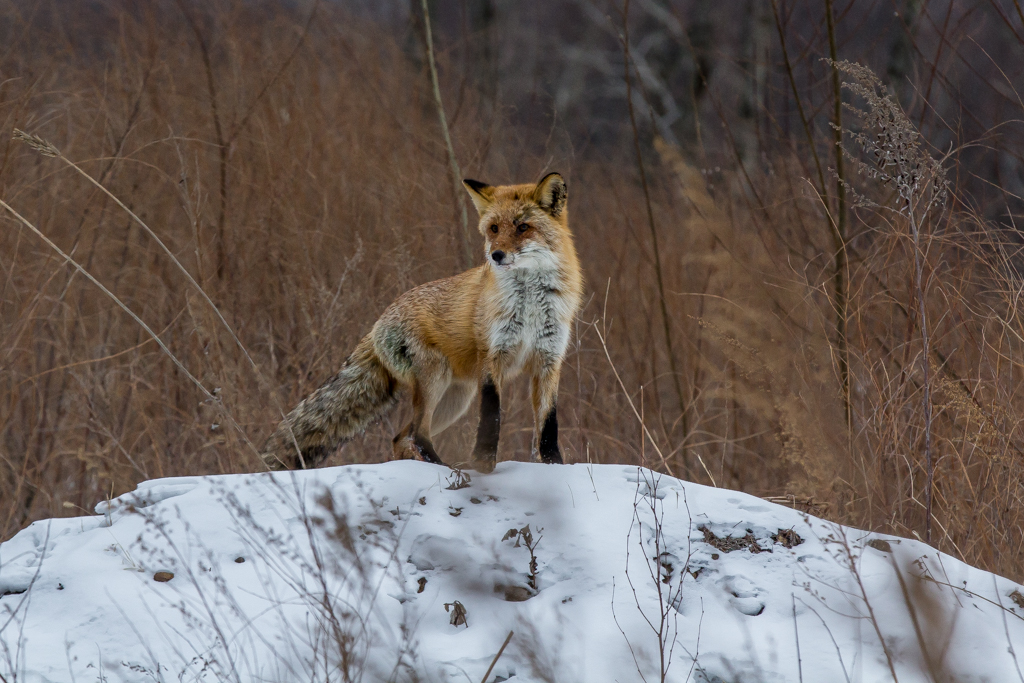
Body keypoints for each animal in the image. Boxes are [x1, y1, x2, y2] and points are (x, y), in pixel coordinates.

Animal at [262, 171, 585, 473]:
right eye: (493, 228)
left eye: (522, 227)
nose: (496, 255)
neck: (530, 304)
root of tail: (377, 325)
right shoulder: (492, 358)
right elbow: (491, 417)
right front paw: (483, 465)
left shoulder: (549, 359)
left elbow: (548, 425)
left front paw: (555, 466)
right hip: (436, 380)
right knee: (417, 434)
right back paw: (446, 468)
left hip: (456, 398)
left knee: (401, 437)